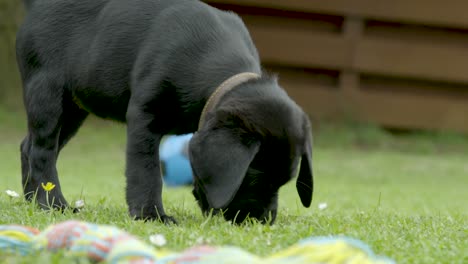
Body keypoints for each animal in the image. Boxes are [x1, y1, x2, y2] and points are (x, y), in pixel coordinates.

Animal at [16, 0, 314, 224]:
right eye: (253, 178)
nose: (262, 221)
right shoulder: (144, 116)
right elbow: (146, 170)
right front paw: (151, 215)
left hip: (74, 109)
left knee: (28, 147)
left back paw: (33, 200)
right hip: (48, 93)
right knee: (41, 151)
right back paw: (52, 204)